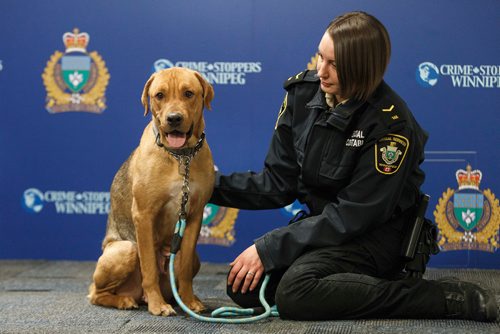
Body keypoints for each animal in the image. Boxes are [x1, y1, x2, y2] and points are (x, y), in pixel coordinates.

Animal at [87, 67, 215, 316]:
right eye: (159, 95)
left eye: (188, 93)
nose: (173, 119)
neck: (180, 156)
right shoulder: (144, 215)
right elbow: (149, 267)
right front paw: (158, 305)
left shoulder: (195, 215)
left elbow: (184, 269)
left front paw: (189, 301)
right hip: (125, 249)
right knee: (96, 293)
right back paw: (125, 300)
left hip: (192, 257)